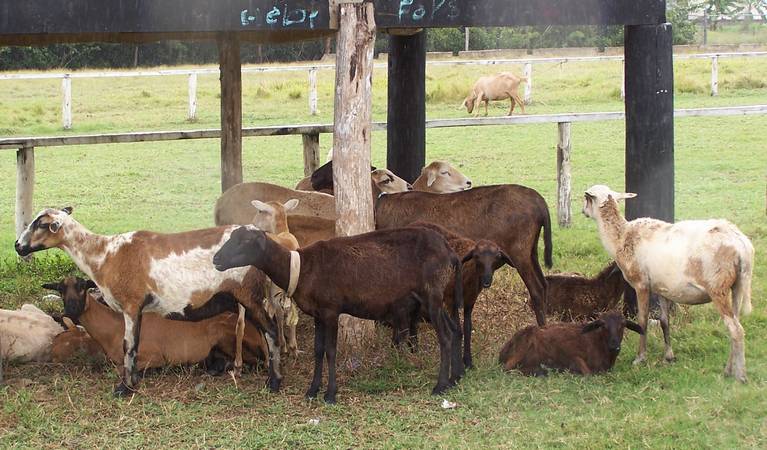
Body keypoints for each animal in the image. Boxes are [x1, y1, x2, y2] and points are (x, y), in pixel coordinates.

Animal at [43, 277, 268, 371]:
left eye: (82, 286)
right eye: (60, 290)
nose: (71, 310)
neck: (113, 328)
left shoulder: (155, 356)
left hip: (227, 338)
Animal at [213, 226, 463, 404]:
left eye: (245, 241)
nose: (216, 259)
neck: (300, 268)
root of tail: (450, 252)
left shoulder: (331, 311)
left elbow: (331, 352)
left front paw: (330, 394)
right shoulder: (318, 314)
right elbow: (318, 350)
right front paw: (312, 390)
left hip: (431, 294)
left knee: (445, 337)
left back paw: (440, 386)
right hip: (435, 299)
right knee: (454, 329)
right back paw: (455, 379)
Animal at [250, 198, 302, 356]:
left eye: (260, 211)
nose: (253, 223)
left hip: (275, 287)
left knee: (279, 311)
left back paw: (283, 343)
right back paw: (293, 346)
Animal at [500, 310, 643, 376]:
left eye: (623, 325)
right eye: (603, 326)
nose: (615, 346)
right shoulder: (572, 355)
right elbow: (587, 373)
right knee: (509, 369)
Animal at [582, 184, 755, 382]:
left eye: (586, 198)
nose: (583, 211)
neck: (621, 237)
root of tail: (743, 245)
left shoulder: (641, 284)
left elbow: (642, 321)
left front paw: (640, 358)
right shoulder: (662, 289)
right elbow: (664, 321)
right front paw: (669, 356)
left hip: (717, 287)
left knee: (736, 330)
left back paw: (740, 376)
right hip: (736, 287)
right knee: (736, 326)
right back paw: (728, 370)